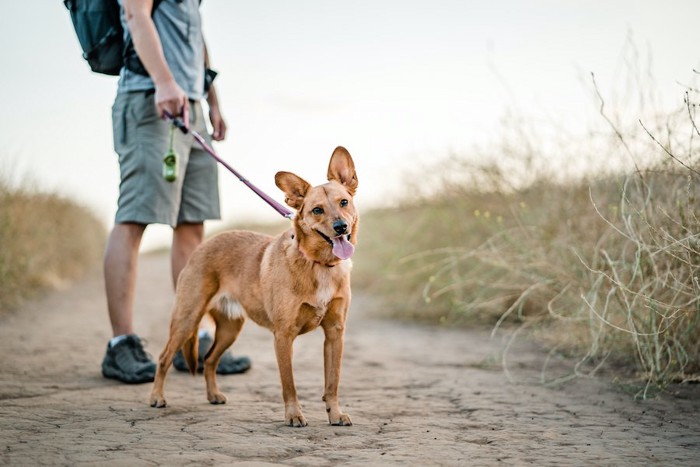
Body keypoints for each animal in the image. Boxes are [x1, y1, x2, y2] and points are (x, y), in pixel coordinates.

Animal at [147, 146, 356, 428]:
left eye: (343, 202)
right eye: (317, 210)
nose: (340, 227)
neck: (319, 264)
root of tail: (203, 245)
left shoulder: (335, 333)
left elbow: (332, 382)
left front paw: (334, 413)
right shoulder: (284, 336)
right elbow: (289, 385)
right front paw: (294, 414)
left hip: (230, 329)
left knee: (209, 359)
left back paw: (213, 395)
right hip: (186, 319)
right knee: (164, 358)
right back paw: (157, 397)